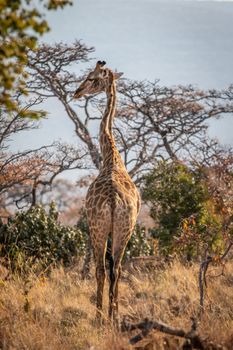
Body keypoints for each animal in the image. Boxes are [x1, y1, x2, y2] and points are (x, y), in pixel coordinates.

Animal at [73, 60, 141, 322]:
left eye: (92, 78)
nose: (76, 92)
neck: (111, 157)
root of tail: (113, 200)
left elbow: (102, 268)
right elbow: (115, 269)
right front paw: (114, 312)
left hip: (98, 227)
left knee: (101, 268)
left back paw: (100, 314)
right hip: (125, 228)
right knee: (117, 268)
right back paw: (114, 314)